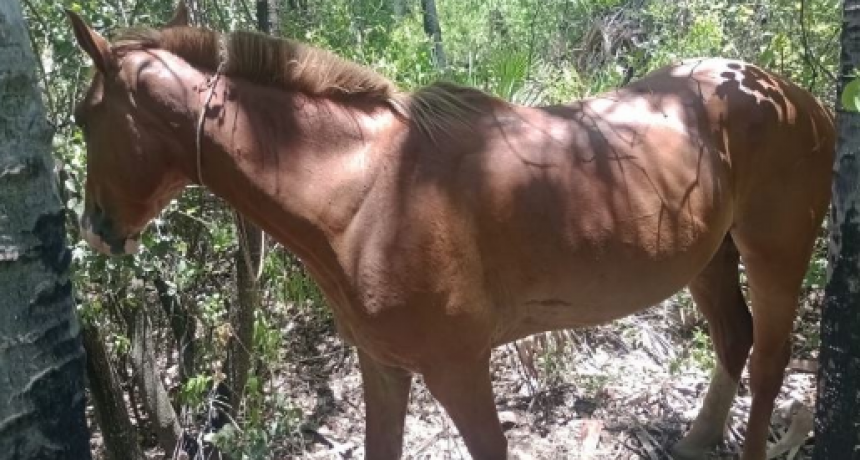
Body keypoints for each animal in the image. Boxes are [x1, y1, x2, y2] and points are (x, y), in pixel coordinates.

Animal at [66, 4, 834, 459]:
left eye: (82, 116)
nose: (97, 228)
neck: (366, 192)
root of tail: (794, 96)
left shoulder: (457, 367)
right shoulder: (384, 366)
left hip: (776, 252)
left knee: (768, 359)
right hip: (709, 258)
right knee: (734, 340)